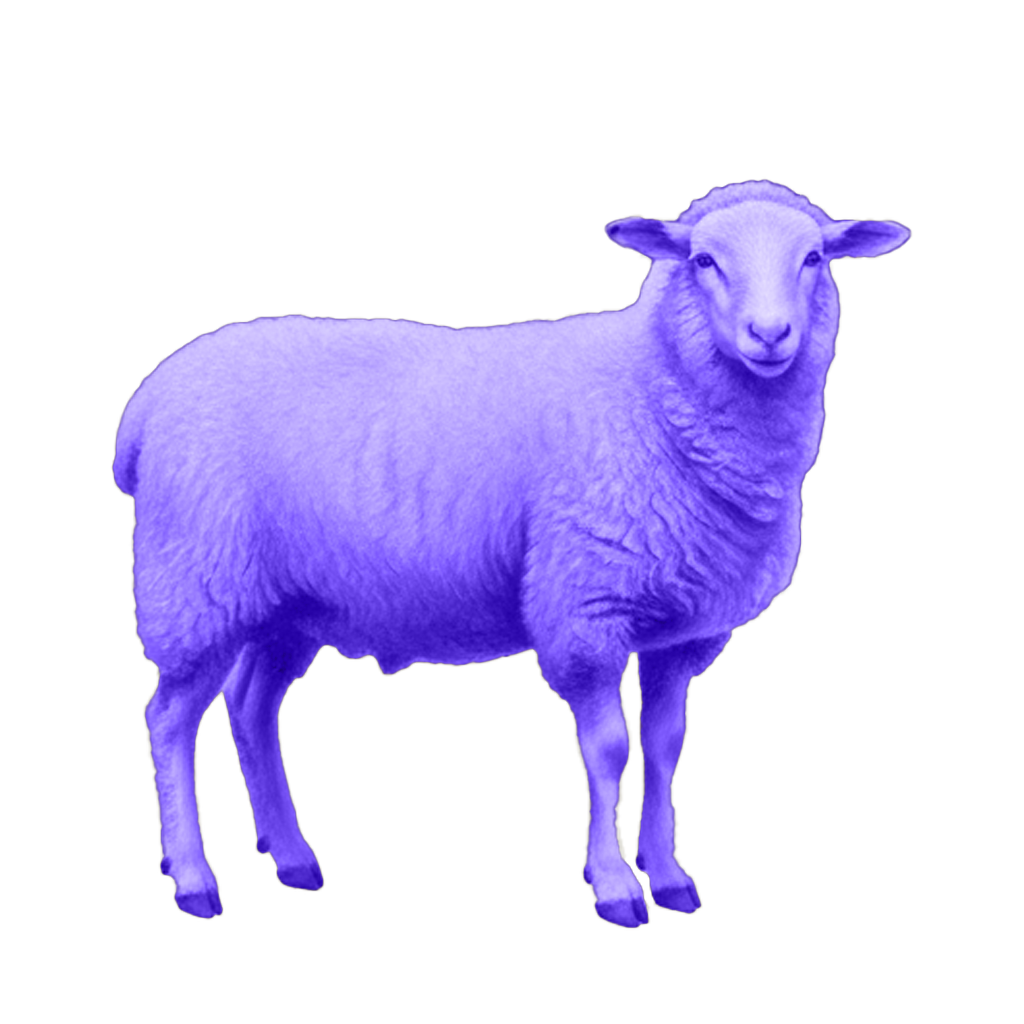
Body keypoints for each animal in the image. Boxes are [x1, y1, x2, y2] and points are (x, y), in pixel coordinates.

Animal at [113, 179, 911, 929]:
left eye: (814, 258)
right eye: (704, 261)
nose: (770, 334)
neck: (652, 387)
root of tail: (148, 400)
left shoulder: (682, 629)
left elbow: (666, 747)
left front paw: (669, 873)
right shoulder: (586, 606)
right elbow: (611, 750)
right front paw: (615, 884)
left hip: (289, 601)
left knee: (251, 707)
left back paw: (292, 855)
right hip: (195, 579)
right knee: (169, 721)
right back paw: (193, 875)